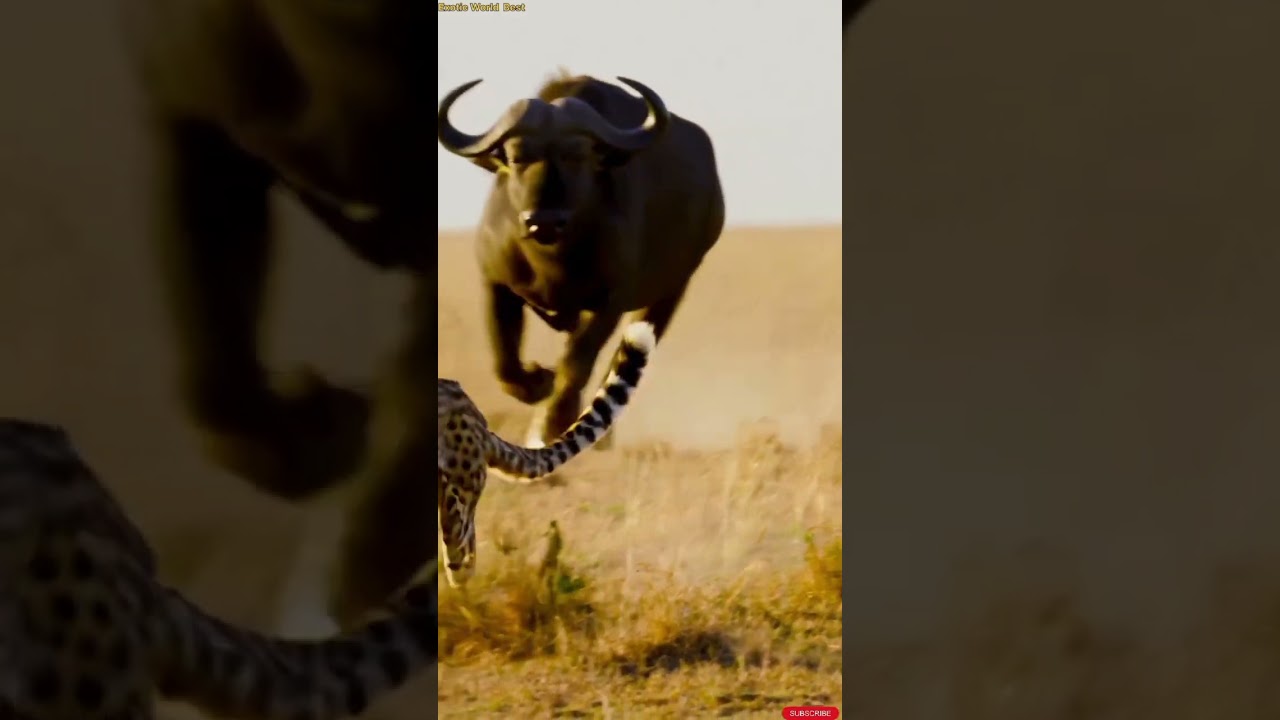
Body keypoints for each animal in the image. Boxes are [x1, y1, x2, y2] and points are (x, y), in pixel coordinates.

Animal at [437, 73, 726, 448]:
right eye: (516, 156)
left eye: (577, 155)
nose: (543, 221)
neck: (551, 262)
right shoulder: (496, 286)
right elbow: (505, 364)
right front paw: (538, 381)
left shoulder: (608, 303)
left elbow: (576, 365)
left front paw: (551, 425)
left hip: (670, 292)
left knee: (620, 361)